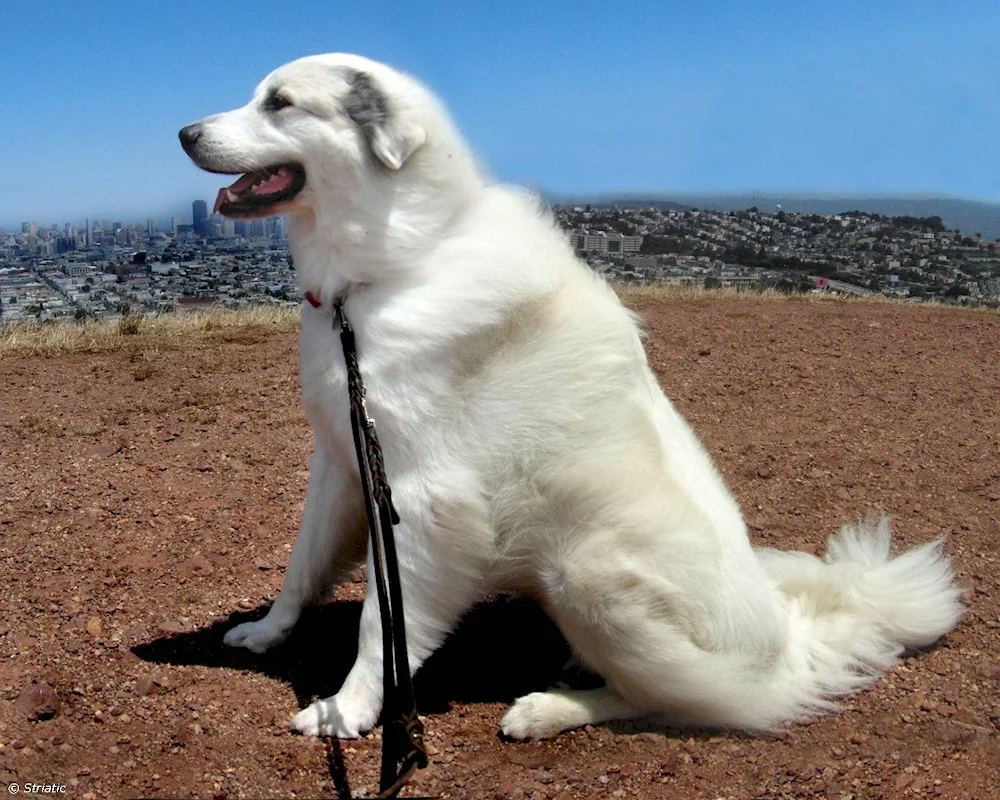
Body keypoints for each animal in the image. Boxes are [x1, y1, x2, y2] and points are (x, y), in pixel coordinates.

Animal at [178, 54, 960, 744]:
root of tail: (788, 640)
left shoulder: (426, 499)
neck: (398, 264)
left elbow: (382, 625)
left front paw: (350, 710)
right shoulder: (344, 463)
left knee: (674, 699)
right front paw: (267, 633)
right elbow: (301, 565)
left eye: (280, 102)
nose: (184, 133)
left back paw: (548, 708)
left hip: (591, 570)